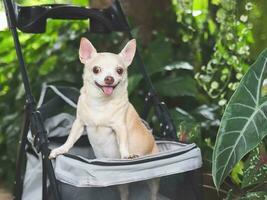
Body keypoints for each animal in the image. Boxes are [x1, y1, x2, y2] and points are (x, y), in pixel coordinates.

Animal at [49, 38, 159, 200]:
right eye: (96, 69)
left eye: (119, 70)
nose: (109, 78)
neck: (100, 104)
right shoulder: (79, 123)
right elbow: (70, 139)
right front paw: (60, 149)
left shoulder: (120, 127)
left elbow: (123, 144)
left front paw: (126, 155)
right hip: (120, 183)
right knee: (125, 192)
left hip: (153, 179)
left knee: (153, 192)